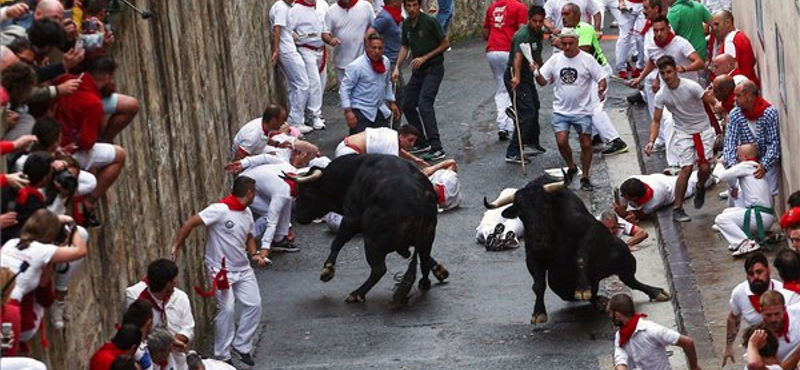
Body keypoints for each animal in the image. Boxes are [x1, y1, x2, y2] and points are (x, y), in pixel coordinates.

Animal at [288, 154, 450, 304]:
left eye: (307, 192)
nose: (298, 217)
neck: (351, 174)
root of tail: (420, 199)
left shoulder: (351, 219)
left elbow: (338, 242)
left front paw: (327, 271)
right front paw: (440, 271)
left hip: (372, 242)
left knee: (379, 269)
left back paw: (357, 294)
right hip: (427, 236)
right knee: (423, 258)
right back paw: (425, 283)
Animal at [484, 176, 672, 324]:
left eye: (545, 209)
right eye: (521, 214)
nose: (538, 241)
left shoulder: (590, 232)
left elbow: (580, 258)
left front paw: (582, 289)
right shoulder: (532, 256)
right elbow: (538, 284)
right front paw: (538, 313)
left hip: (624, 257)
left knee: (630, 280)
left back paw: (657, 292)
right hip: (558, 283)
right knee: (590, 292)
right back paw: (599, 300)